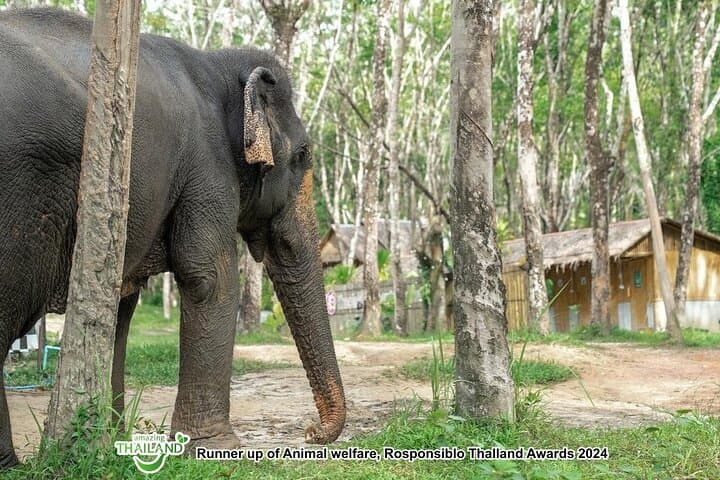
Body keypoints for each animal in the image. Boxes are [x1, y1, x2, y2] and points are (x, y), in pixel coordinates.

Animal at [0, 7, 345, 468]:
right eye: (303, 156)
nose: (311, 432)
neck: (216, 62)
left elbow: (121, 302)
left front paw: (114, 443)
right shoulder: (207, 167)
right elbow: (210, 278)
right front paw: (217, 449)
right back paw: (10, 464)